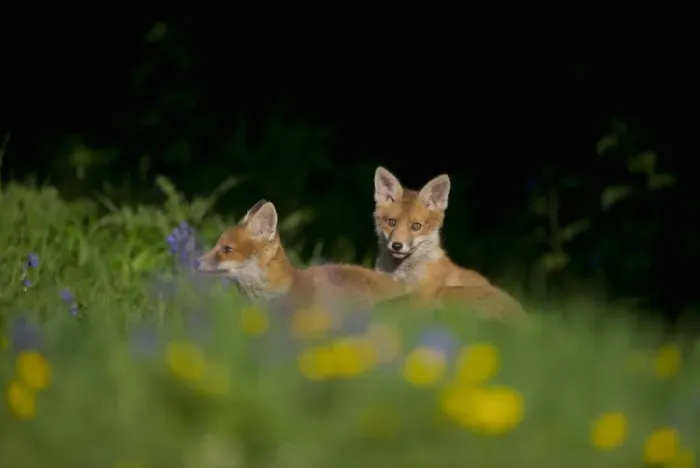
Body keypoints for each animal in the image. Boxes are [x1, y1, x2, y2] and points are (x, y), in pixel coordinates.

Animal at [373, 166, 526, 320]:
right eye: (392, 222)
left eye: (416, 226)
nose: (397, 245)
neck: (401, 274)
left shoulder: (421, 298)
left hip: (447, 294)